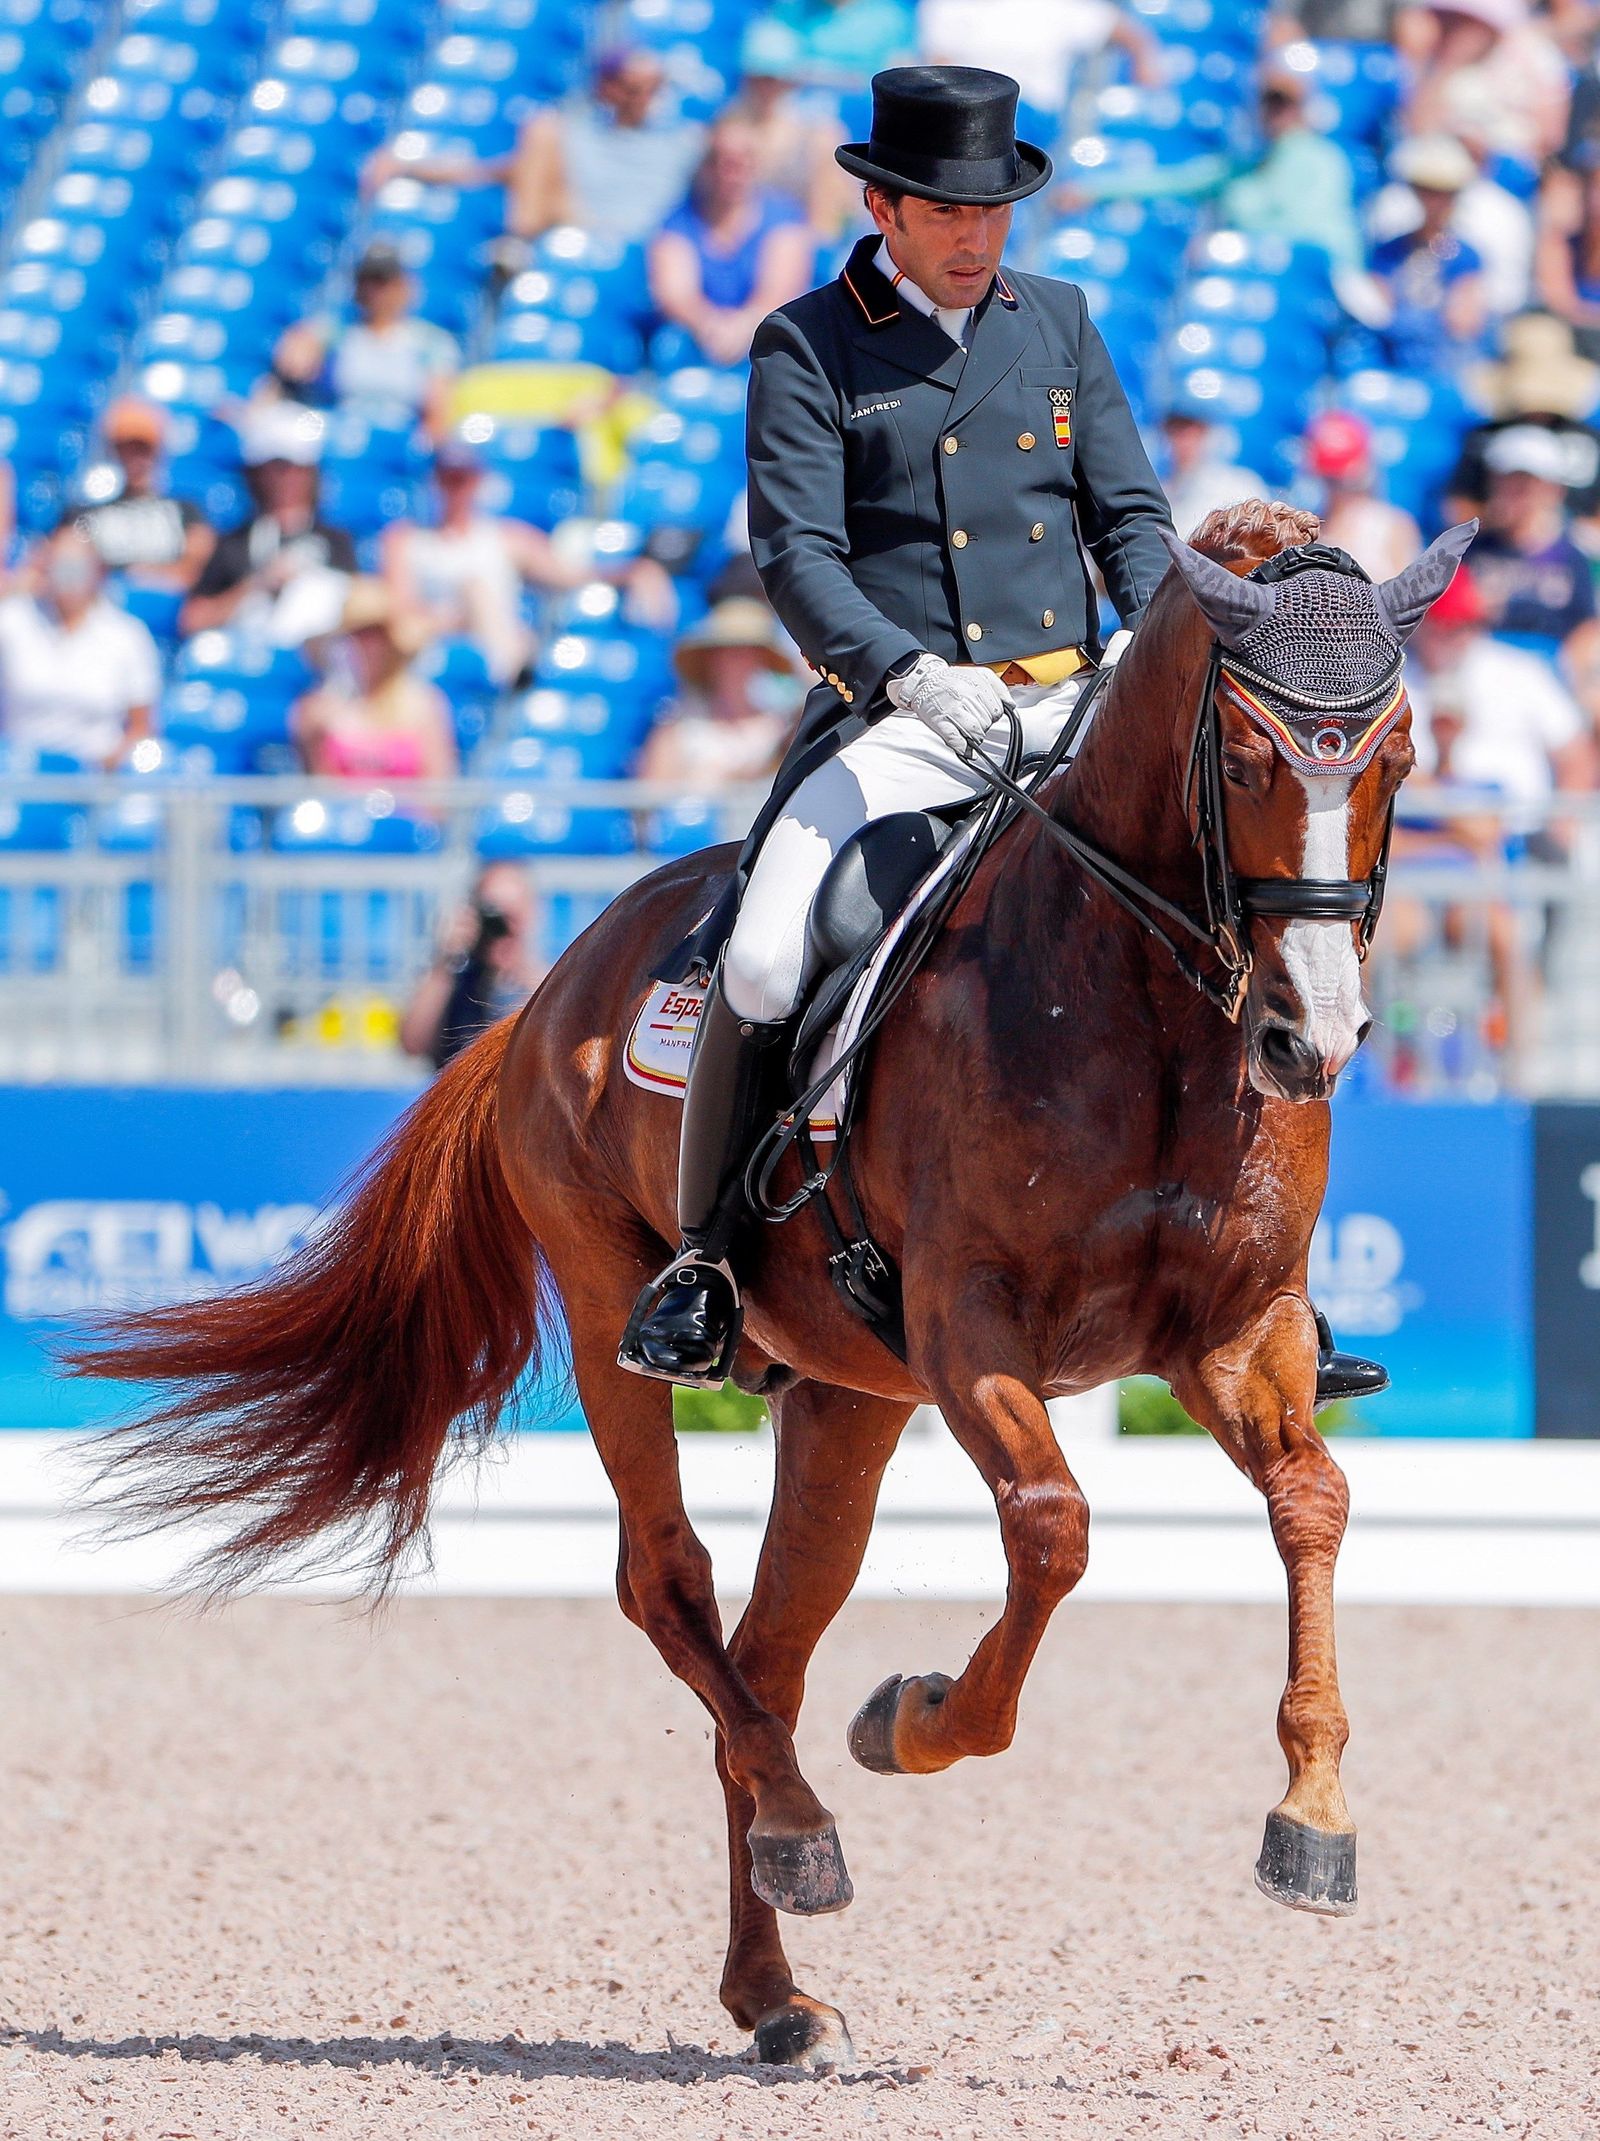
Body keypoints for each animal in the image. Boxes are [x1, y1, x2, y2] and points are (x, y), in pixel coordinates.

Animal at [73, 499, 1471, 2074]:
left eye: (1400, 758)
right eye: (1240, 759)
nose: (1314, 1039)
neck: (1145, 1004)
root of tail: (549, 987)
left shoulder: (1240, 1329)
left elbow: (1313, 1501)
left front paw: (1312, 1819)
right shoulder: (970, 1322)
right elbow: (1052, 1530)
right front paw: (918, 1720)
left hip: (847, 1397)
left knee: (768, 1650)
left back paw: (773, 1984)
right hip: (616, 1309)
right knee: (669, 1584)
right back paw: (806, 1832)